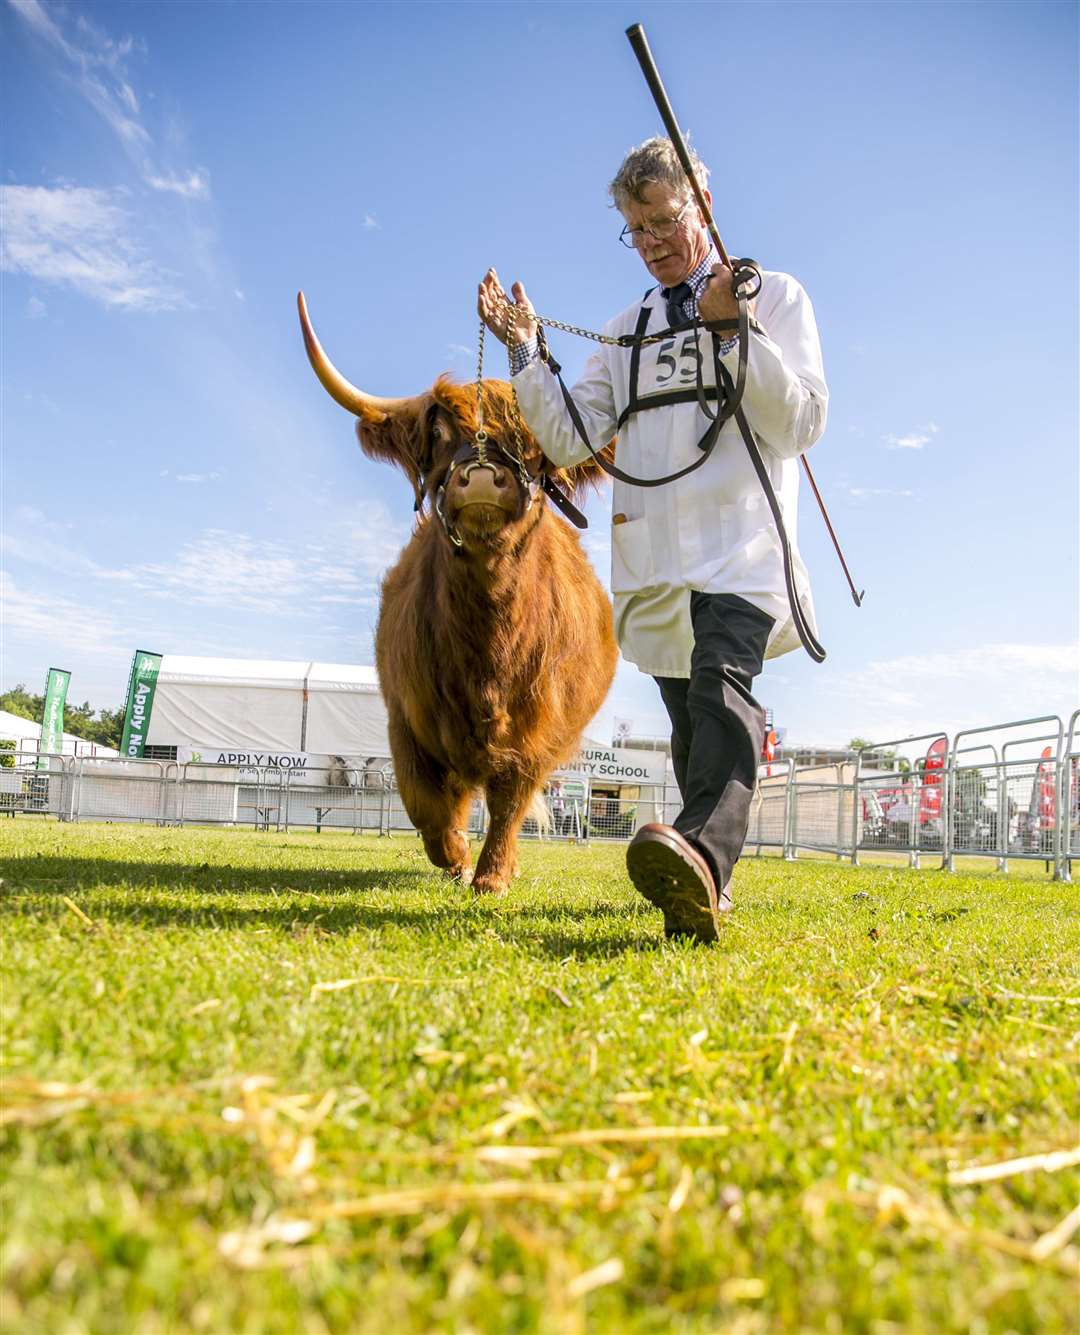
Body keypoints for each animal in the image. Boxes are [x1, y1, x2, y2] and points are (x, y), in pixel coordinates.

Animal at [297, 297, 614, 891]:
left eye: (535, 441)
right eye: (441, 433)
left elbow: (511, 802)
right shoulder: (406, 717)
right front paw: (455, 856)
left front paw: (492, 875)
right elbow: (426, 804)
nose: (484, 476)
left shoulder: (536, 733)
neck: (487, 648)